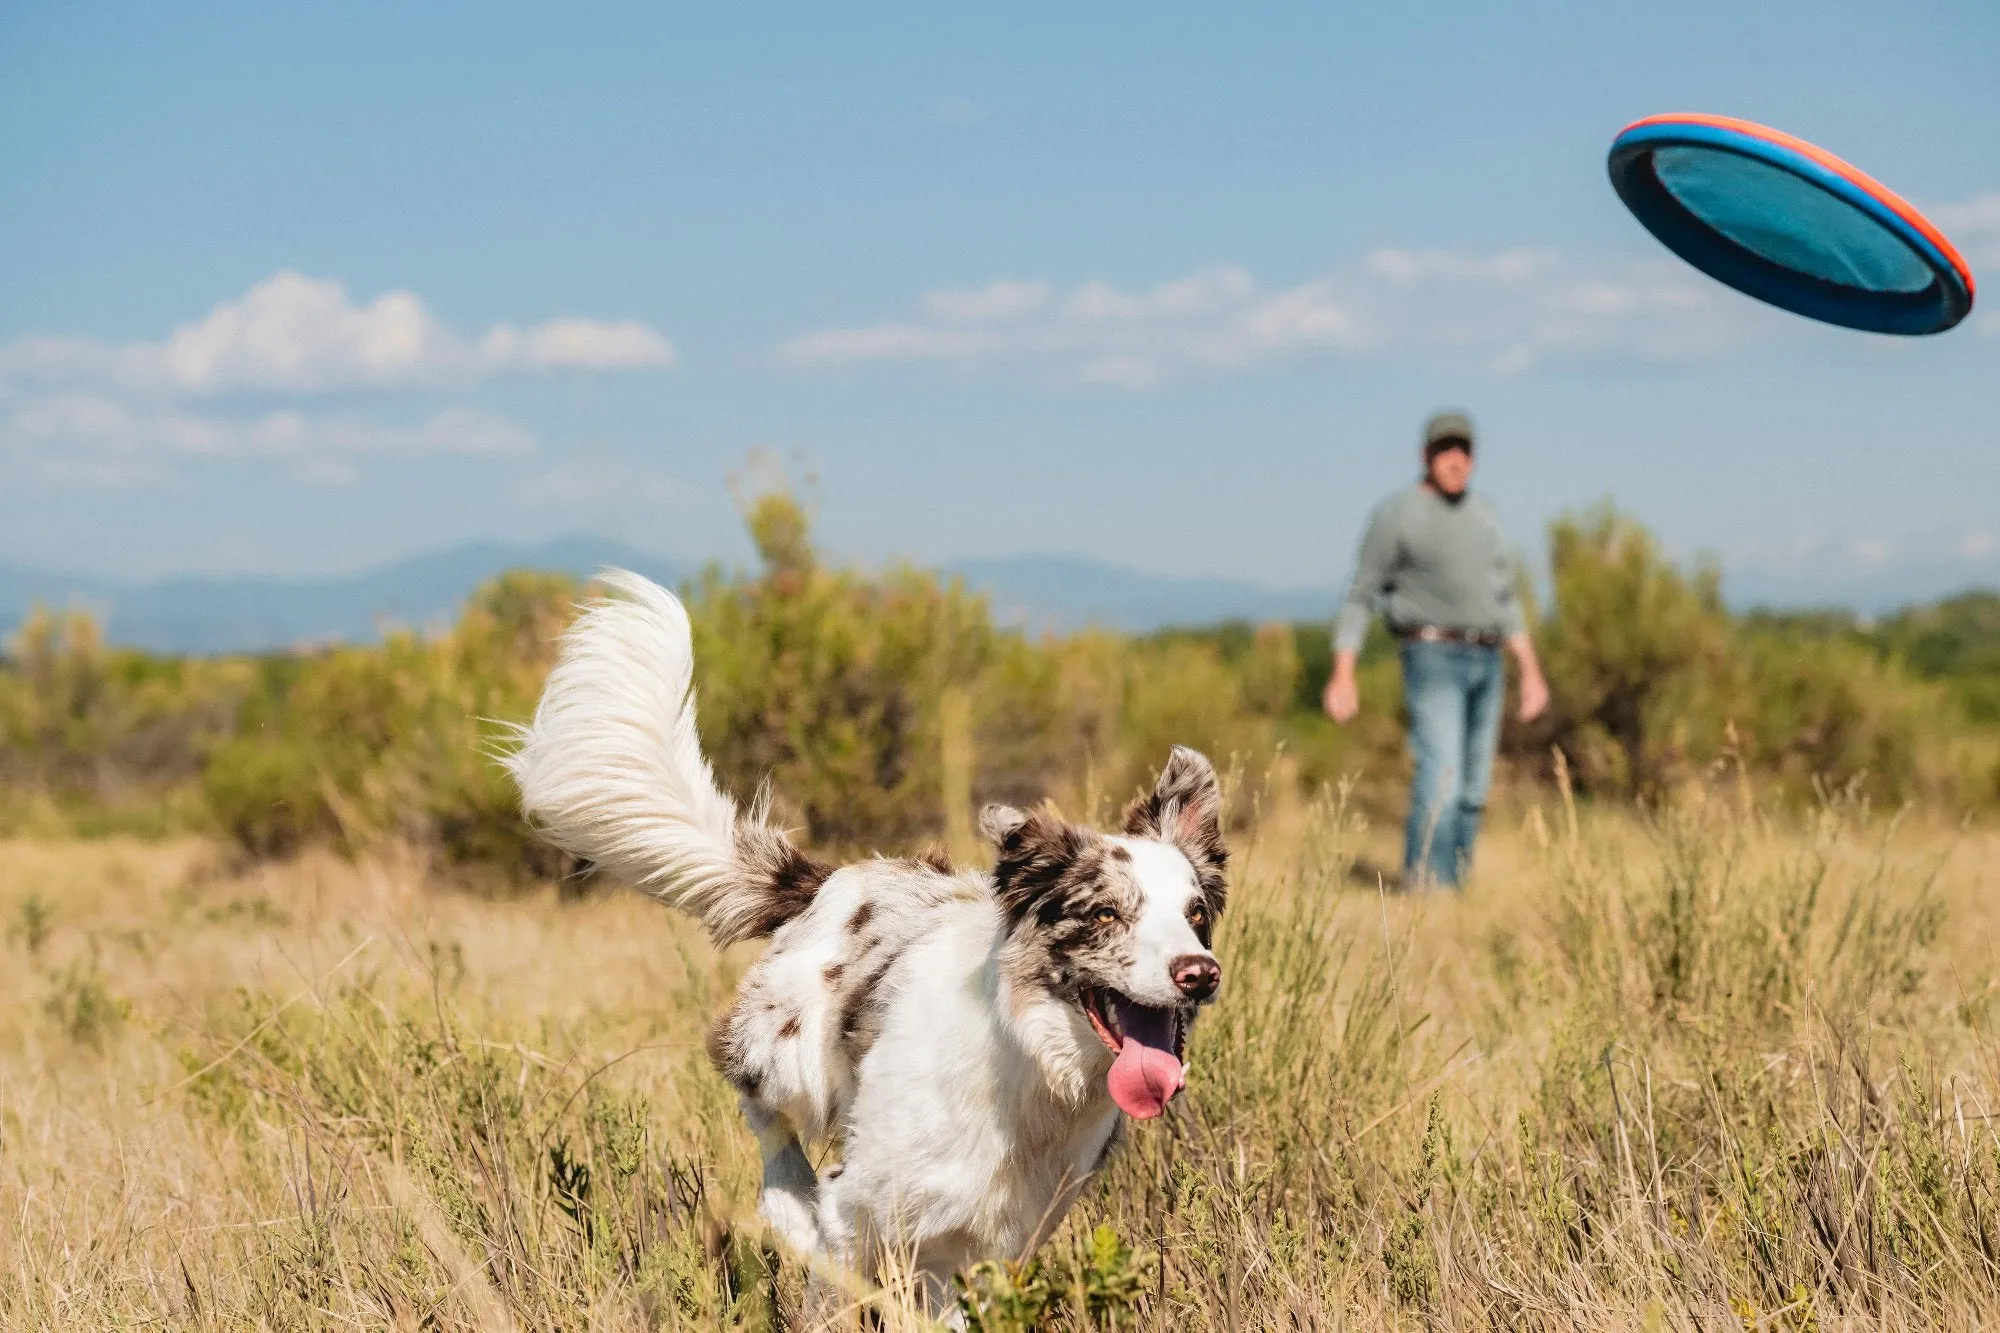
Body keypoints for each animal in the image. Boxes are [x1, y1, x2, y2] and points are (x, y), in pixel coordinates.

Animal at [504, 564, 1216, 1304]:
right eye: (1105, 913)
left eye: (1196, 914)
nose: (1199, 973)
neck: (1033, 1074)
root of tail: (831, 878)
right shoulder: (860, 1211)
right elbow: (832, 1284)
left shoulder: (987, 1248)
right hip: (786, 1055)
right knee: (758, 1106)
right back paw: (791, 1198)